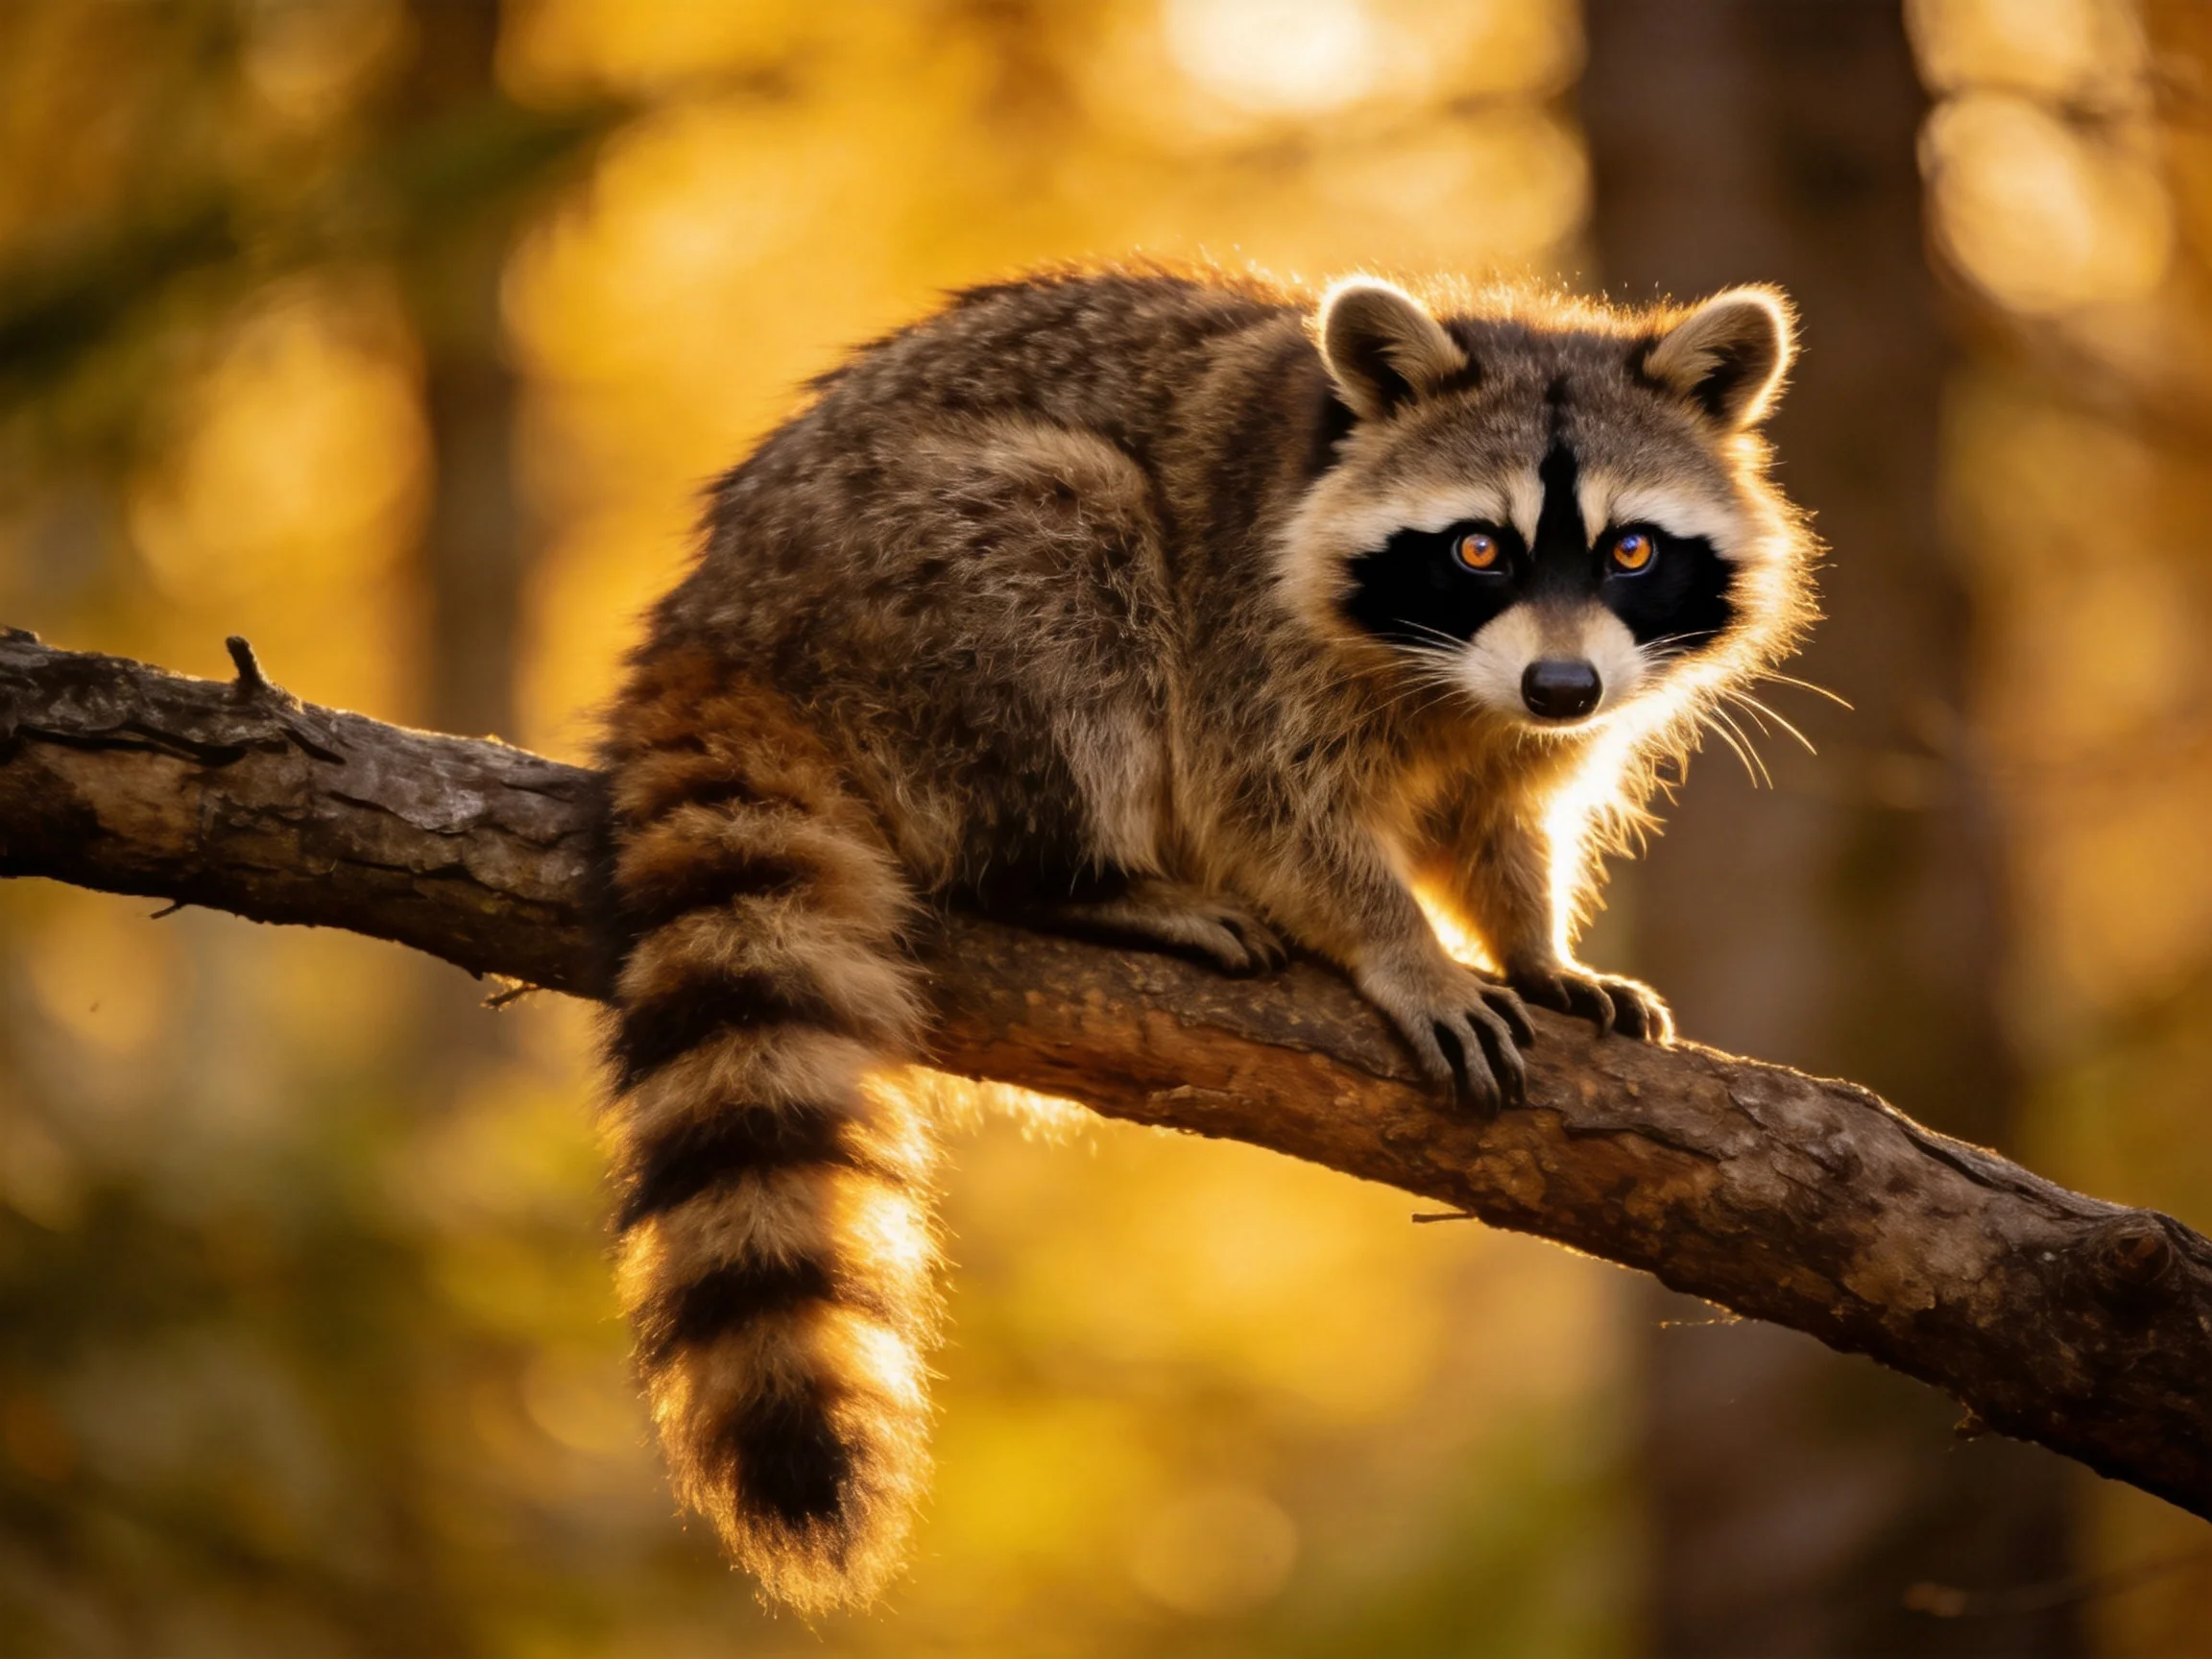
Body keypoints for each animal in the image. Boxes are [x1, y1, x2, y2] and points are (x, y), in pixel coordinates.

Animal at [596, 264, 1813, 1610]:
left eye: (1631, 549)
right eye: (1478, 547)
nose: (1560, 688)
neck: (1458, 683)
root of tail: (720, 606)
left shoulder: (1535, 713)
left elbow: (1501, 819)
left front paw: (1534, 940)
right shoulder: (1251, 611)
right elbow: (1265, 806)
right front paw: (1403, 945)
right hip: (921, 594)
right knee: (1072, 548)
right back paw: (1074, 879)